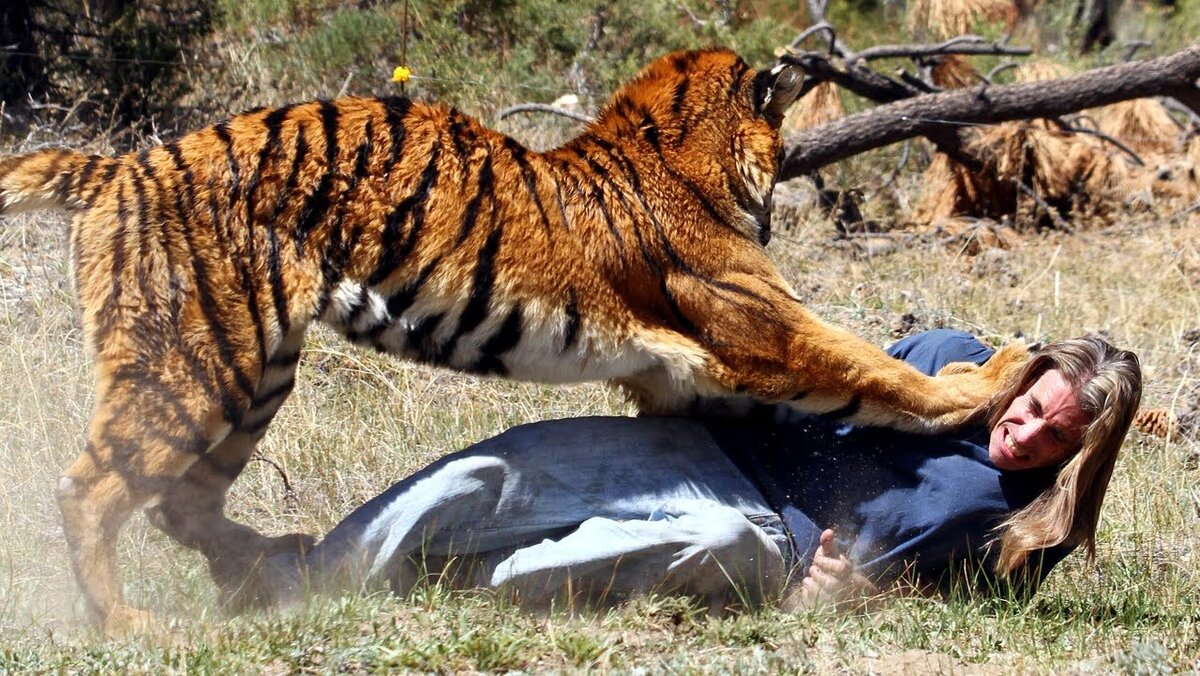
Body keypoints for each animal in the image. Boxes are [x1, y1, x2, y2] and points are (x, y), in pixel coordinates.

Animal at [0, 48, 1032, 633]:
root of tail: (114, 169)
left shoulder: (689, 374)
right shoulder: (764, 331)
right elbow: (878, 371)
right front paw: (996, 373)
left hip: (254, 376)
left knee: (181, 502)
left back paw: (262, 565)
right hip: (196, 361)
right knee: (92, 490)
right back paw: (127, 622)